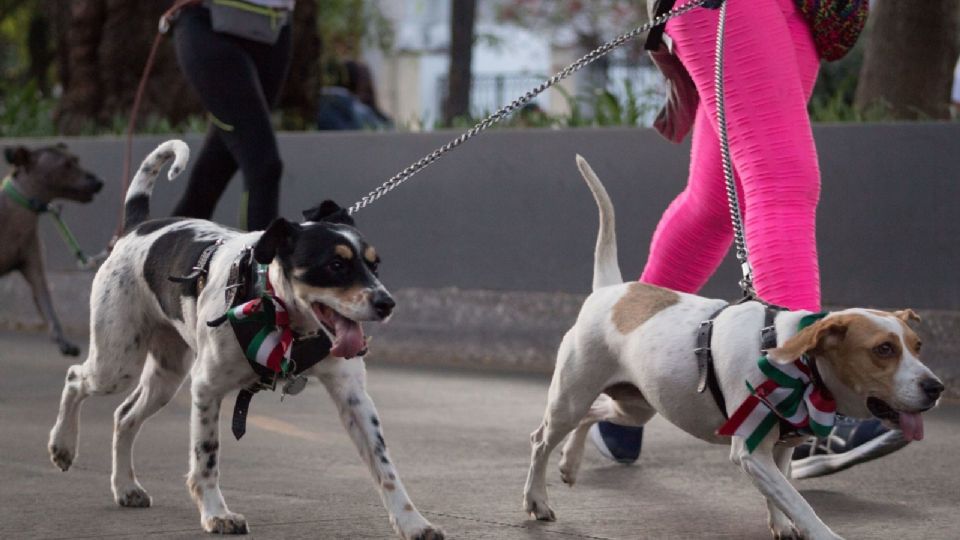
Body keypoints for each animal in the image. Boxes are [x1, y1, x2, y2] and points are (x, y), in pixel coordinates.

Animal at [0, 143, 103, 354]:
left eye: (76, 159)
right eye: (66, 164)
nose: (99, 182)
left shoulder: (33, 266)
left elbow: (48, 305)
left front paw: (62, 340)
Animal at [47, 140, 442, 540]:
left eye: (374, 265)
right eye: (336, 265)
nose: (387, 303)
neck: (278, 311)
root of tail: (137, 227)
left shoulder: (354, 397)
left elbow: (385, 466)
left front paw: (412, 521)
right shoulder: (206, 388)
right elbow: (206, 457)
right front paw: (215, 513)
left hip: (165, 377)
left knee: (124, 415)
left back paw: (126, 486)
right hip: (117, 364)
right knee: (75, 378)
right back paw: (63, 446)